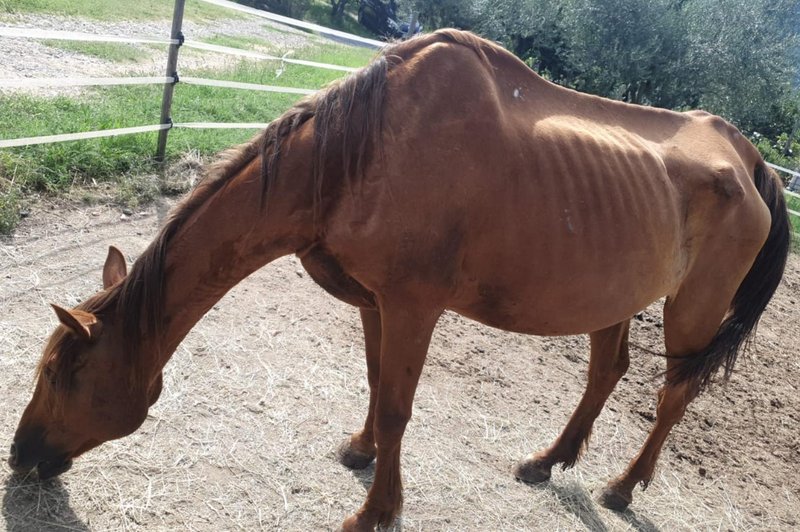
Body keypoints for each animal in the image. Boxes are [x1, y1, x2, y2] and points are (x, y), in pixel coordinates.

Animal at [9, 31, 792, 528]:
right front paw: (361, 452)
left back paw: (624, 488)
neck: (359, 153)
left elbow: (397, 407)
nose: (19, 457)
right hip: (614, 294)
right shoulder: (373, 301)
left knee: (673, 394)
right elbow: (374, 381)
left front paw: (376, 511)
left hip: (692, 309)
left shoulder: (414, 306)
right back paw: (547, 461)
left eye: (60, 374)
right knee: (608, 370)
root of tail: (750, 159)